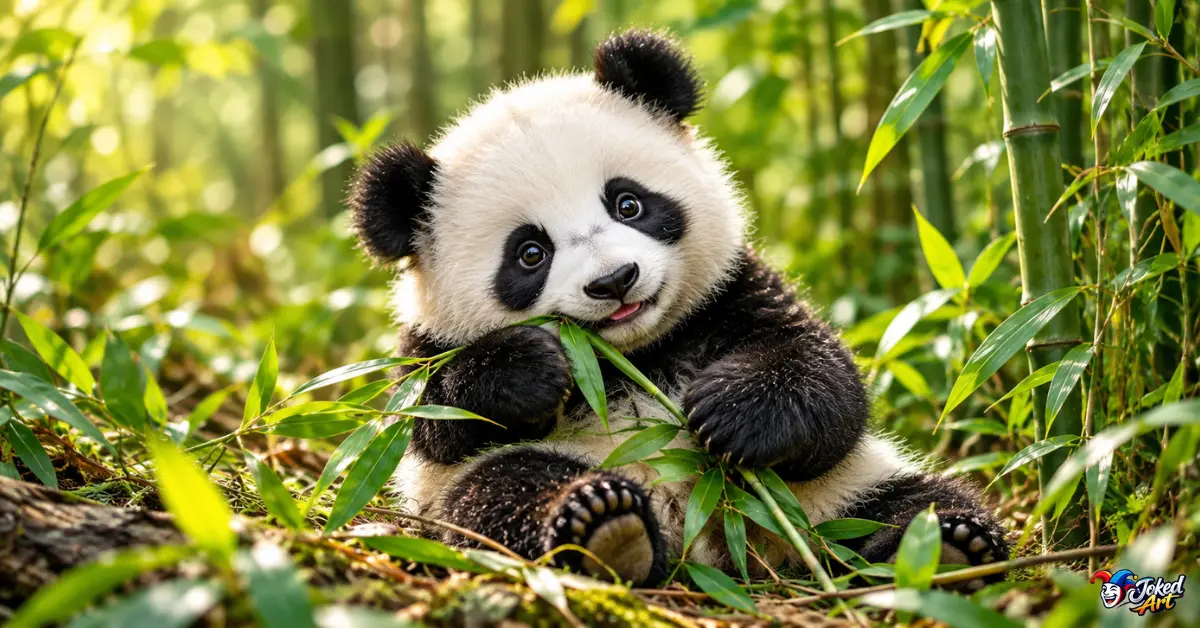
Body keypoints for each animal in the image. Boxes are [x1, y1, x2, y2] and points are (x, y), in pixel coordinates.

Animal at [348, 29, 1009, 587]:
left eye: (629, 204)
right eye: (530, 254)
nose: (614, 281)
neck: (638, 352)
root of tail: (719, 543)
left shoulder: (734, 291)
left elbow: (826, 377)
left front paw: (729, 413)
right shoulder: (426, 346)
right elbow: (429, 419)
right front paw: (530, 369)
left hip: (839, 491)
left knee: (912, 501)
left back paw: (951, 549)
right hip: (487, 490)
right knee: (503, 495)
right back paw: (605, 528)